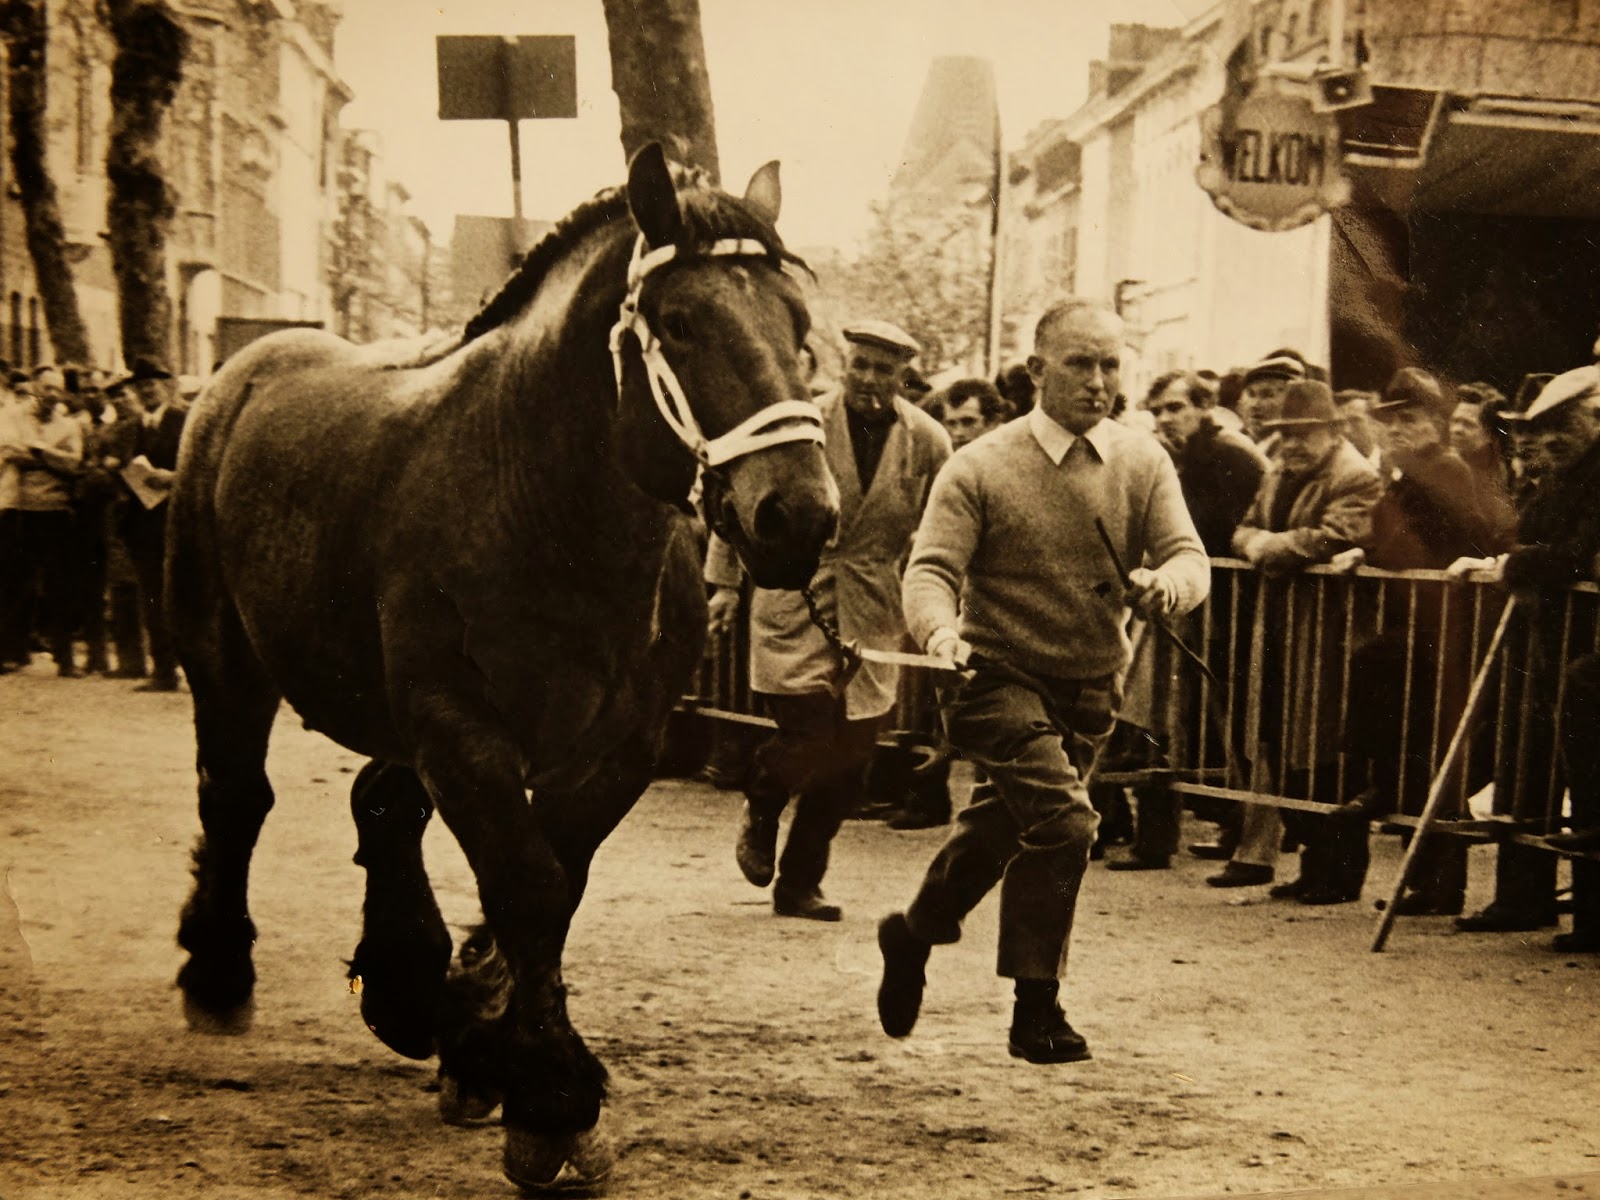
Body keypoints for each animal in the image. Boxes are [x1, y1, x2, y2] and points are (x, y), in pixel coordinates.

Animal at [167, 143, 840, 1193]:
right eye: (681, 322)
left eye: (799, 329)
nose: (799, 514)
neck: (547, 514)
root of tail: (242, 370)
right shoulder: (460, 727)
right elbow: (527, 886)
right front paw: (549, 1100)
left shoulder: (616, 749)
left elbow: (550, 886)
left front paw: (483, 1045)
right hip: (224, 655)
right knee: (236, 795)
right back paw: (219, 970)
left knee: (380, 803)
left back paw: (406, 990)